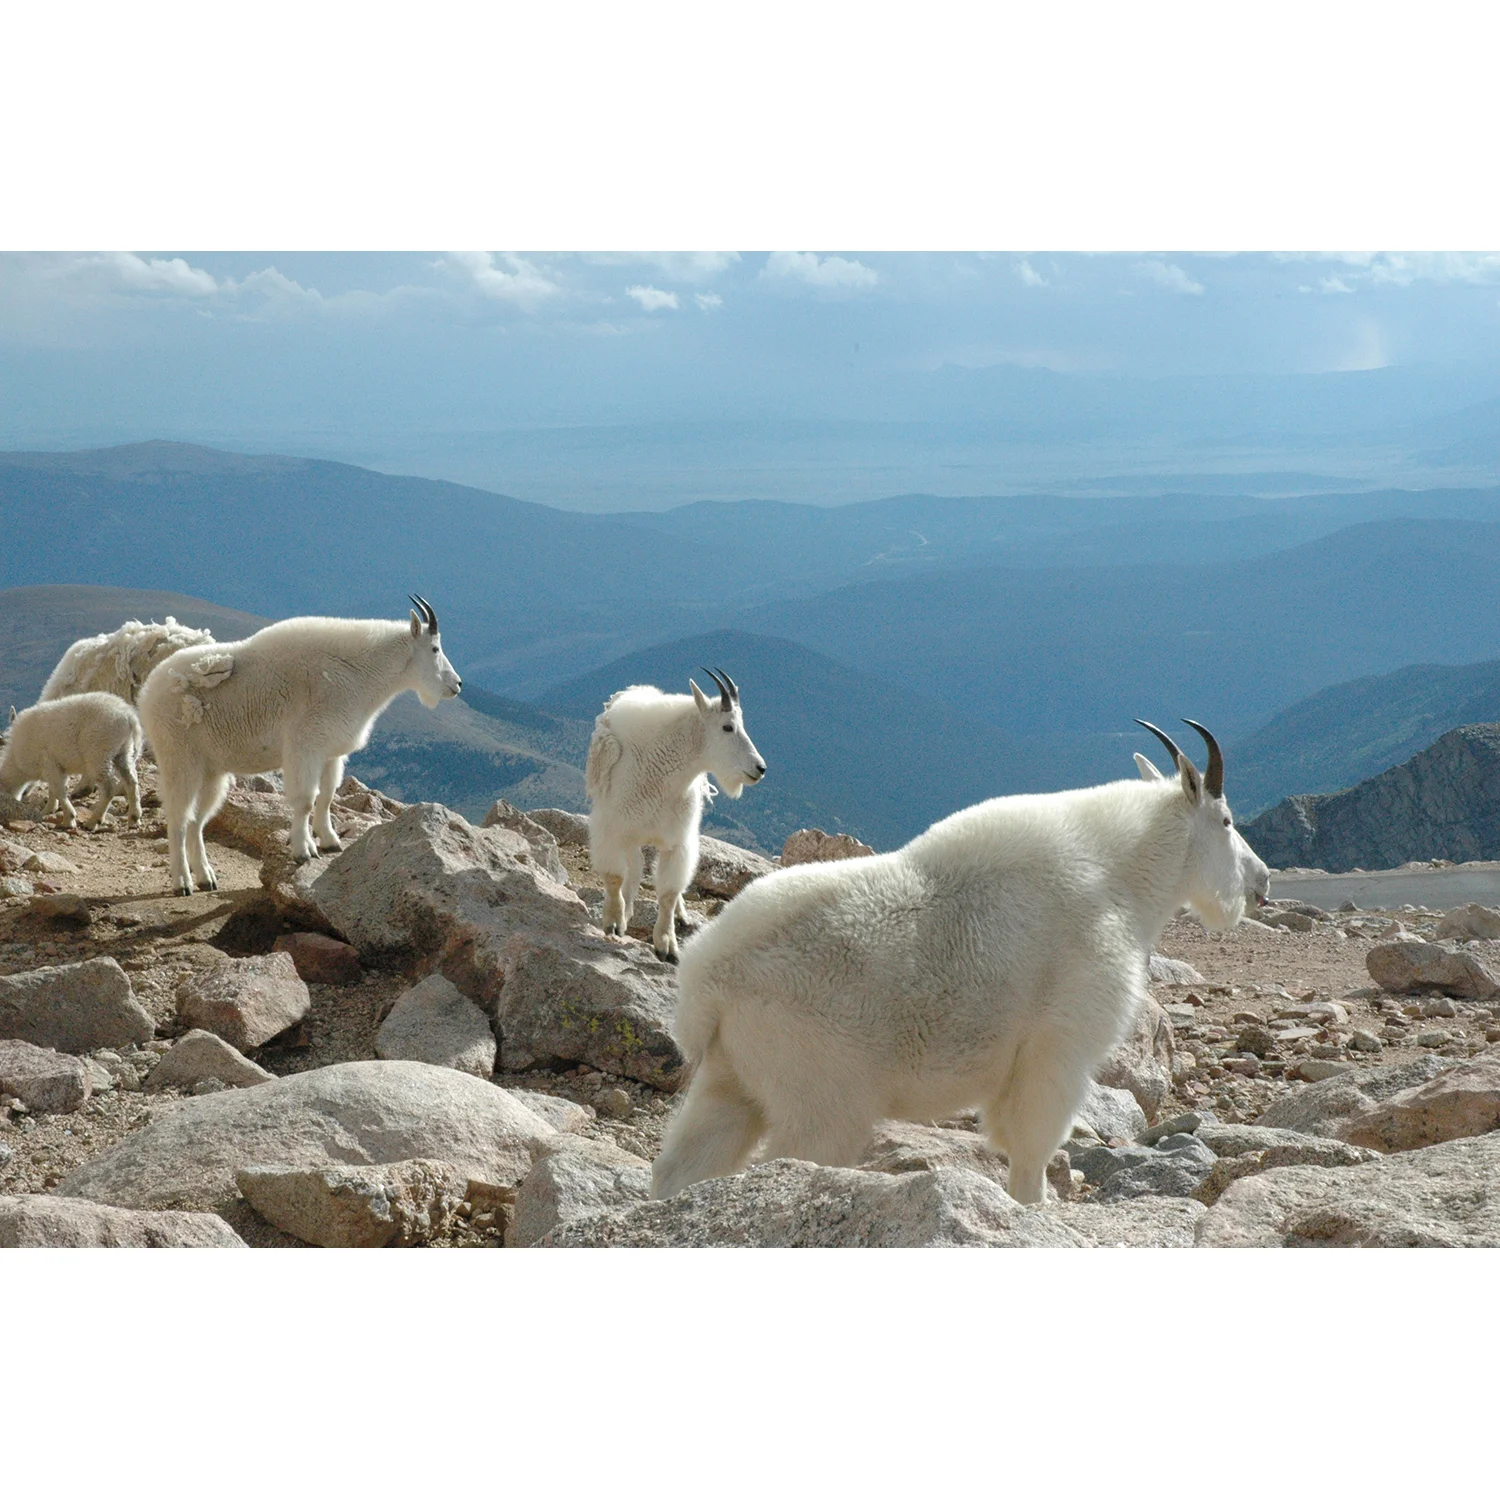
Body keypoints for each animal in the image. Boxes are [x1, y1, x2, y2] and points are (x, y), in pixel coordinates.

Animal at [0, 693, 144, 830]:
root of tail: (129, 717)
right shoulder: (56, 767)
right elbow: (53, 789)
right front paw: (48, 811)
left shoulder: (49, 763)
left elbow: (58, 790)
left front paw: (69, 820)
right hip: (123, 752)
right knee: (131, 780)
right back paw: (134, 818)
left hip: (99, 753)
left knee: (109, 788)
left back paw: (93, 822)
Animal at [137, 596, 461, 896]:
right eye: (435, 649)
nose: (456, 685)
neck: (357, 673)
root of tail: (149, 691)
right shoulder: (304, 747)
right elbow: (305, 799)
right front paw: (303, 851)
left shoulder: (331, 752)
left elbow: (327, 795)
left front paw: (330, 842)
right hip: (179, 759)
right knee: (179, 818)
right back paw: (182, 882)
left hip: (211, 771)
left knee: (197, 821)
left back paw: (206, 878)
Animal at [586, 668, 766, 962]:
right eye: (728, 727)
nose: (760, 768)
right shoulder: (612, 829)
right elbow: (615, 877)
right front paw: (614, 922)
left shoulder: (678, 841)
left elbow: (669, 893)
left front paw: (667, 945)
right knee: (634, 867)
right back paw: (627, 910)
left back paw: (680, 916)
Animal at [650, 719, 1270, 1206]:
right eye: (1227, 822)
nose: (1261, 881)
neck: (1120, 874)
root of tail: (708, 983)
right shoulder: (1057, 1052)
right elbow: (1030, 1155)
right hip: (820, 1097)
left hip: (730, 1080)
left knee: (681, 1167)